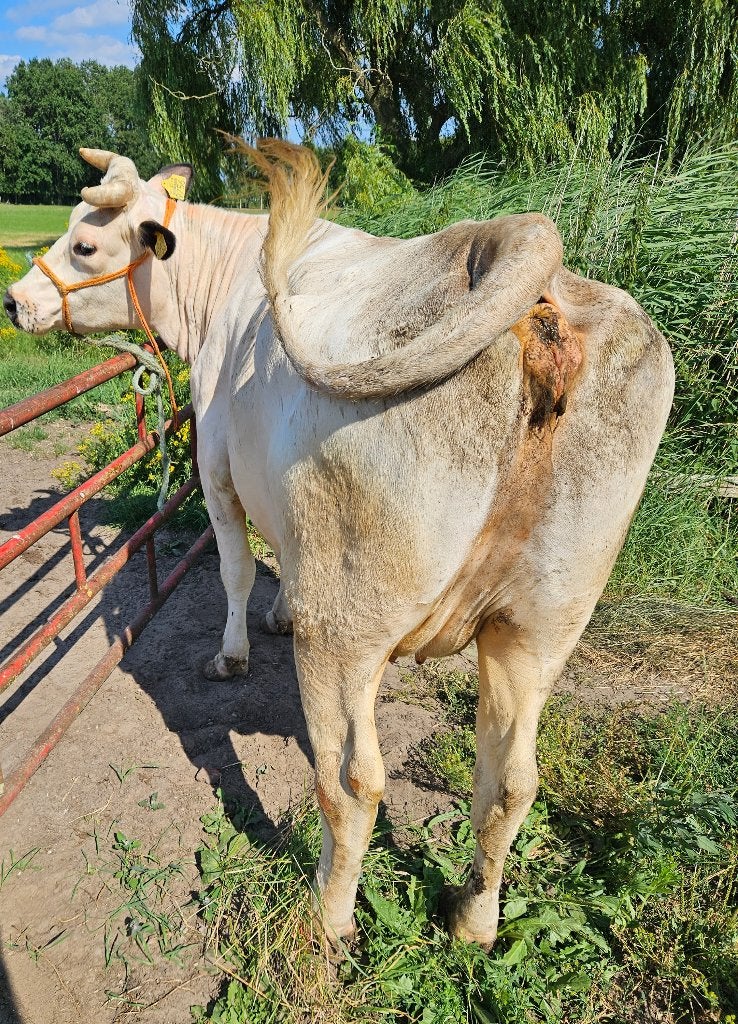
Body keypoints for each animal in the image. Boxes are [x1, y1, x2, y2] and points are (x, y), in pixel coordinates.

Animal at [3, 141, 674, 948]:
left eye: (84, 244)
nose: (15, 301)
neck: (214, 289)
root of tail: (526, 262)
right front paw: (279, 610)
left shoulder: (217, 471)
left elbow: (234, 573)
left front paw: (233, 653)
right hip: (542, 623)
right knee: (510, 782)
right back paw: (473, 919)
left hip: (347, 633)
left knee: (353, 781)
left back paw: (327, 917)